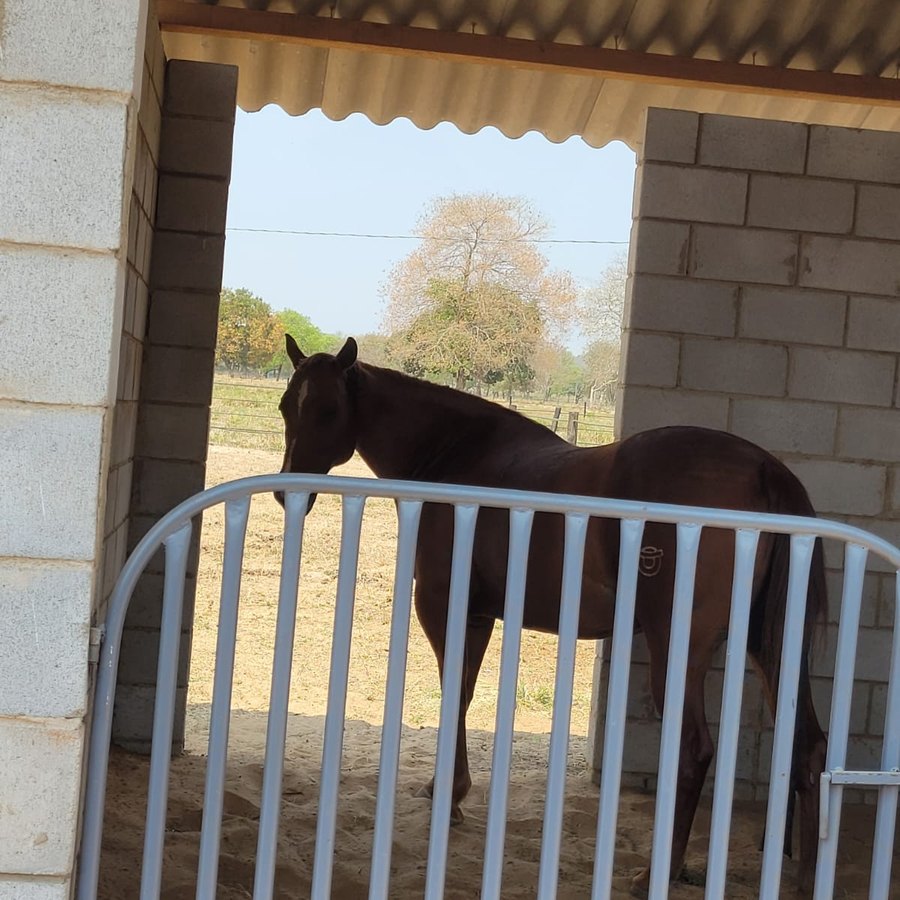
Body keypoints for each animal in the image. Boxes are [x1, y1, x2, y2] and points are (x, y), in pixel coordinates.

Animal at [275, 335, 827, 895]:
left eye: (328, 410)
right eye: (285, 407)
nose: (286, 491)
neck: (456, 454)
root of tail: (765, 470)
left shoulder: (443, 603)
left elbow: (454, 692)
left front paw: (449, 795)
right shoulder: (479, 614)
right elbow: (464, 693)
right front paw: (449, 790)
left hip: (678, 647)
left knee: (694, 751)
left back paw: (657, 872)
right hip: (768, 646)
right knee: (808, 747)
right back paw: (805, 877)